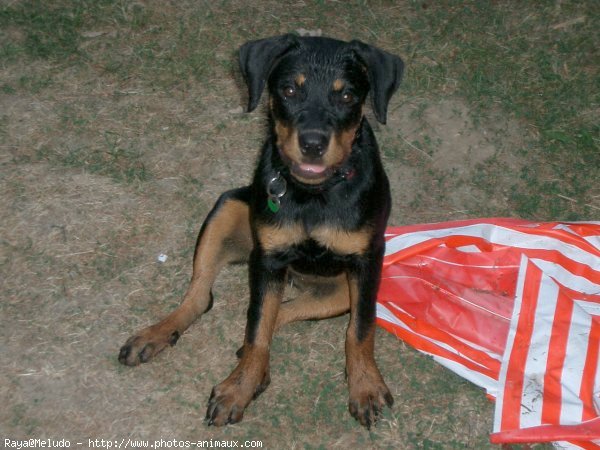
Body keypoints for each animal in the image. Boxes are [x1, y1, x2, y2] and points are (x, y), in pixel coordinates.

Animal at [118, 33, 404, 428]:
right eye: (289, 89)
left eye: (347, 96)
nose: (312, 144)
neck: (313, 194)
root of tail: (300, 280)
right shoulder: (269, 259)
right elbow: (256, 328)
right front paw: (238, 389)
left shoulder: (367, 261)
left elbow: (360, 329)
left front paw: (365, 386)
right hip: (227, 209)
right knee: (203, 296)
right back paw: (156, 334)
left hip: (340, 290)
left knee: (281, 311)